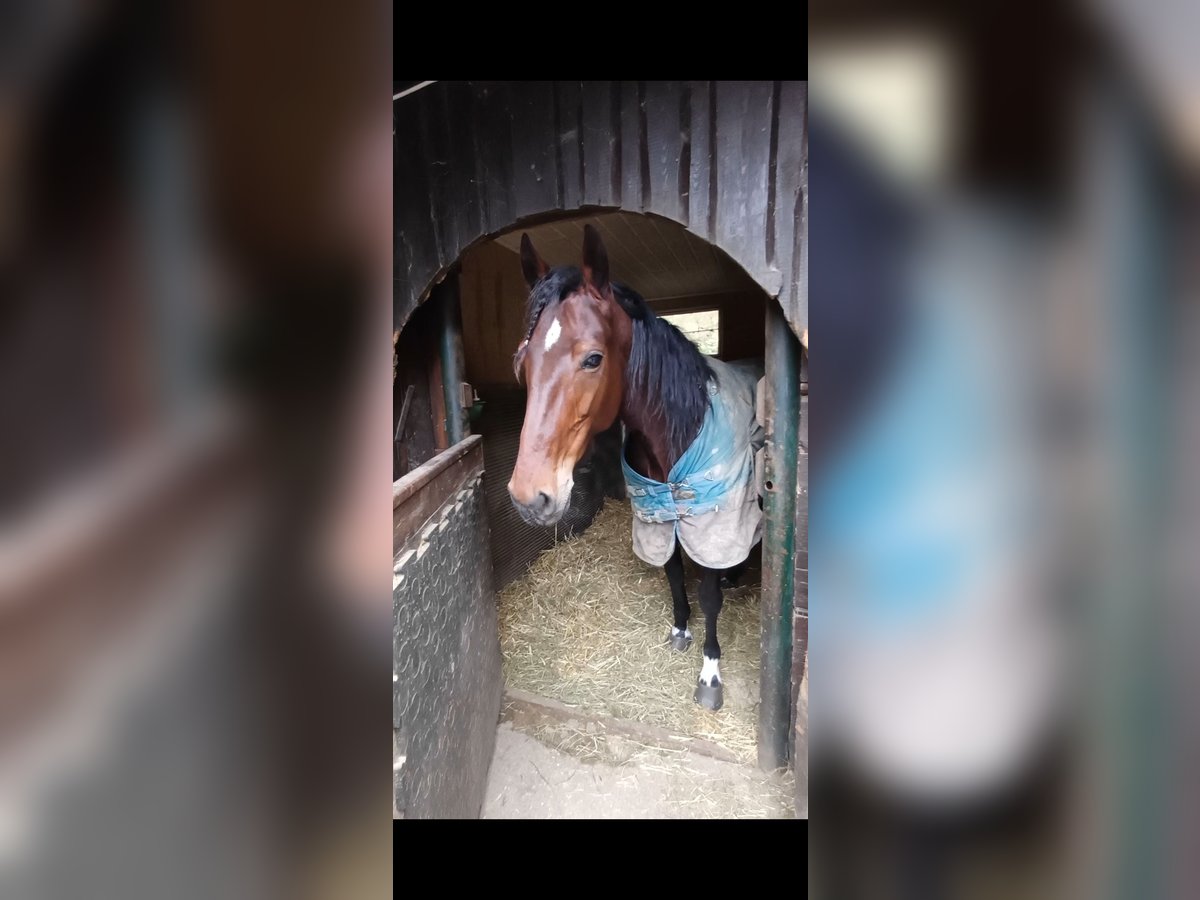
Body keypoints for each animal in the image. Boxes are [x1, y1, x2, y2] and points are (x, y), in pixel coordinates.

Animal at [508, 225, 768, 710]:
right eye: (523, 361)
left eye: (593, 358)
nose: (530, 497)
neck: (680, 428)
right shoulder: (659, 516)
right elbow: (672, 574)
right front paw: (680, 629)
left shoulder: (710, 522)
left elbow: (707, 594)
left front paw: (710, 673)